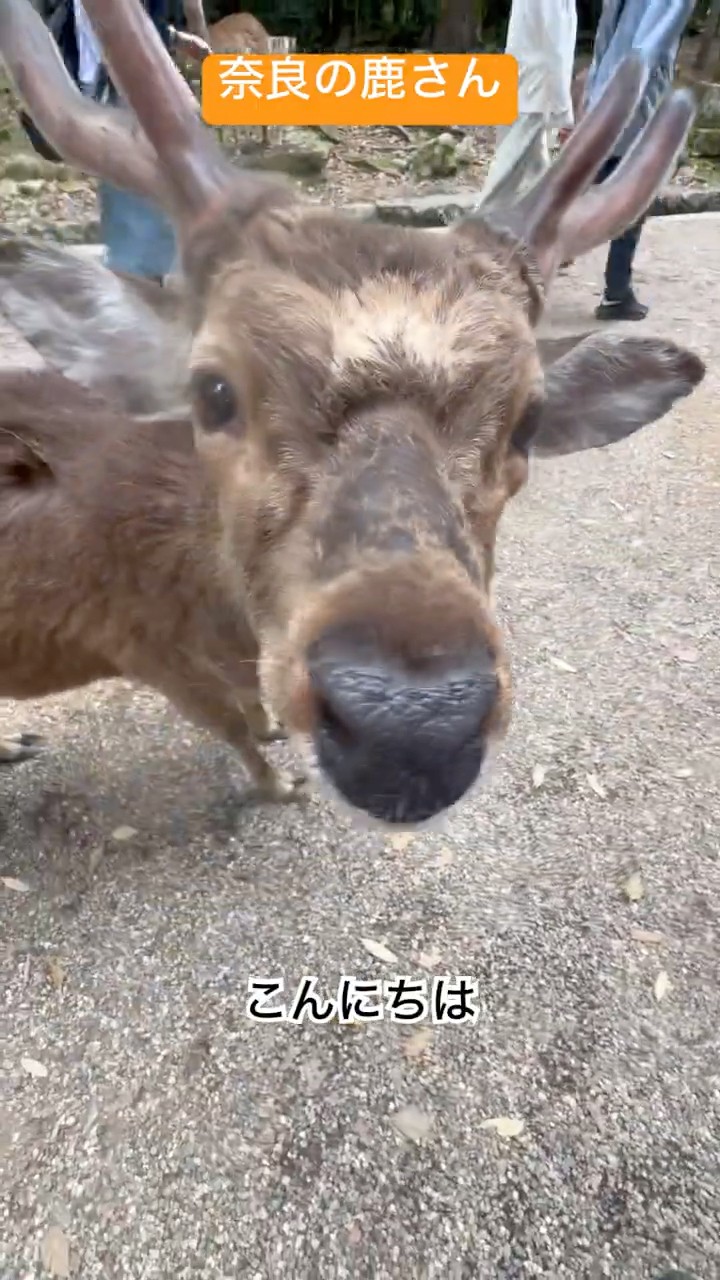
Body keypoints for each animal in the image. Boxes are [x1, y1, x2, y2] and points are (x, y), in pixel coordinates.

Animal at [0, 0, 706, 829]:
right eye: (213, 390)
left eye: (528, 419)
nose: (411, 722)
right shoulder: (144, 645)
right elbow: (230, 723)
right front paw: (277, 781)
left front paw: (276, 735)